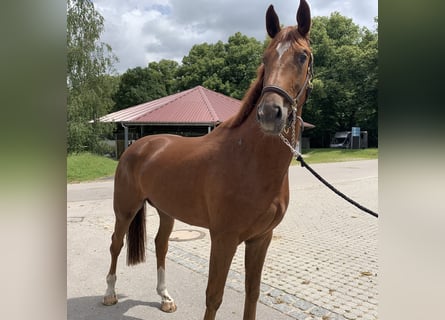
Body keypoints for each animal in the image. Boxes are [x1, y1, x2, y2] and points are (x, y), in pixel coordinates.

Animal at [104, 1, 312, 318]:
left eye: (303, 56)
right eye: (265, 58)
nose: (269, 113)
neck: (250, 161)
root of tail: (137, 145)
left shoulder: (261, 239)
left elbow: (252, 294)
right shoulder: (223, 238)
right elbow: (214, 296)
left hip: (166, 210)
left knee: (161, 244)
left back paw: (165, 297)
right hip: (125, 209)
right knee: (116, 244)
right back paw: (110, 294)